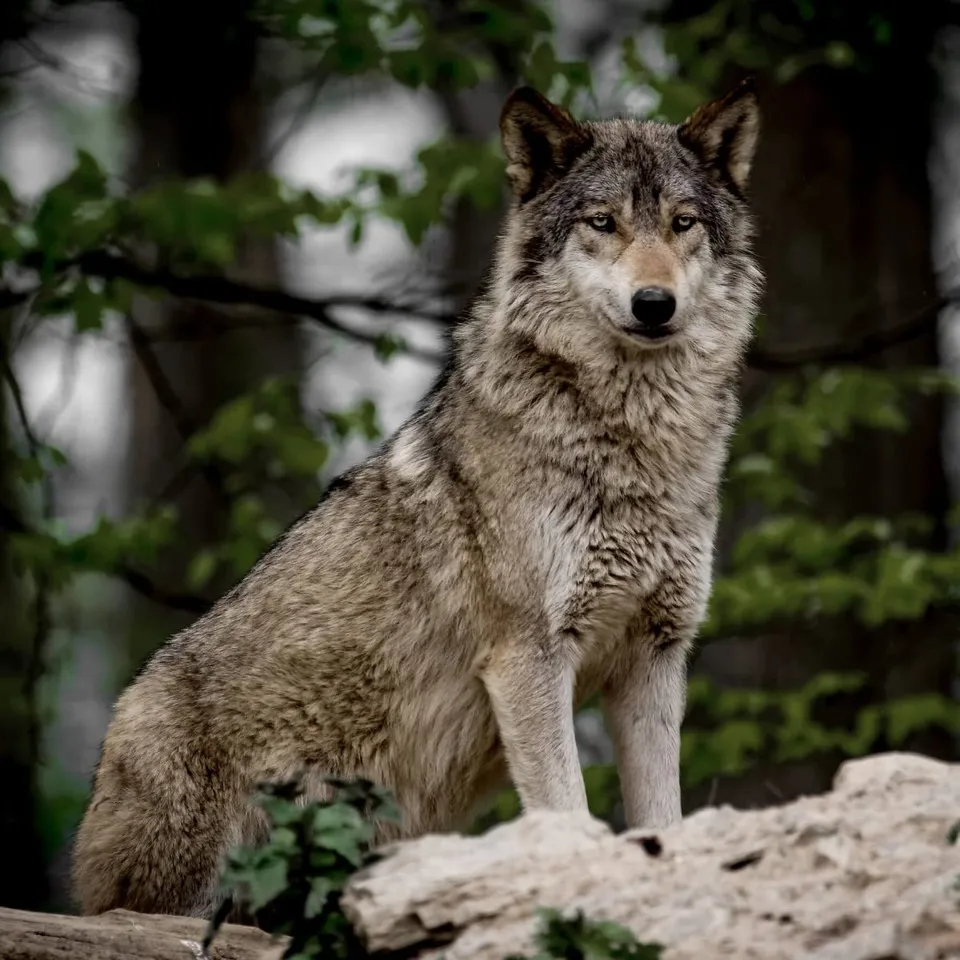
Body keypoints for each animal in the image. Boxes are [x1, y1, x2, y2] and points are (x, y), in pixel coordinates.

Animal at [73, 78, 762, 919]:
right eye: (604, 223)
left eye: (682, 223)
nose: (655, 302)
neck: (632, 444)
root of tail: (110, 738)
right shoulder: (529, 657)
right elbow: (567, 813)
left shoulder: (654, 660)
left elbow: (664, 817)